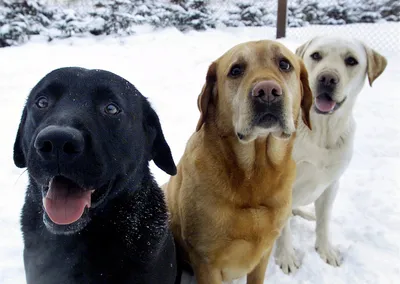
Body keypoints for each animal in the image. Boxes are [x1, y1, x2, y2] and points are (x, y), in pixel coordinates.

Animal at [276, 36, 388, 274]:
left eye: (351, 60)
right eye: (316, 55)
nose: (327, 78)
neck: (320, 130)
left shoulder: (331, 184)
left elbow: (324, 221)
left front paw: (325, 250)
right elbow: (284, 230)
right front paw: (287, 256)